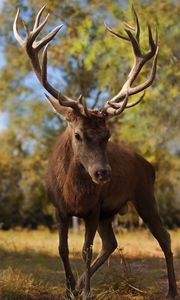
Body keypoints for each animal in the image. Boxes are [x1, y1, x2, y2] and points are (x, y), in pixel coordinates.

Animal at [13, 5, 178, 300]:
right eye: (78, 134)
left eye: (107, 135)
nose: (103, 173)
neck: (74, 195)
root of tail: (149, 165)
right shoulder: (59, 208)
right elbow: (62, 248)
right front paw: (70, 289)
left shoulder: (93, 208)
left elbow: (85, 250)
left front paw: (87, 291)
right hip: (109, 212)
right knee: (111, 243)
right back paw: (80, 285)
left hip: (144, 194)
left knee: (164, 236)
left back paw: (171, 290)